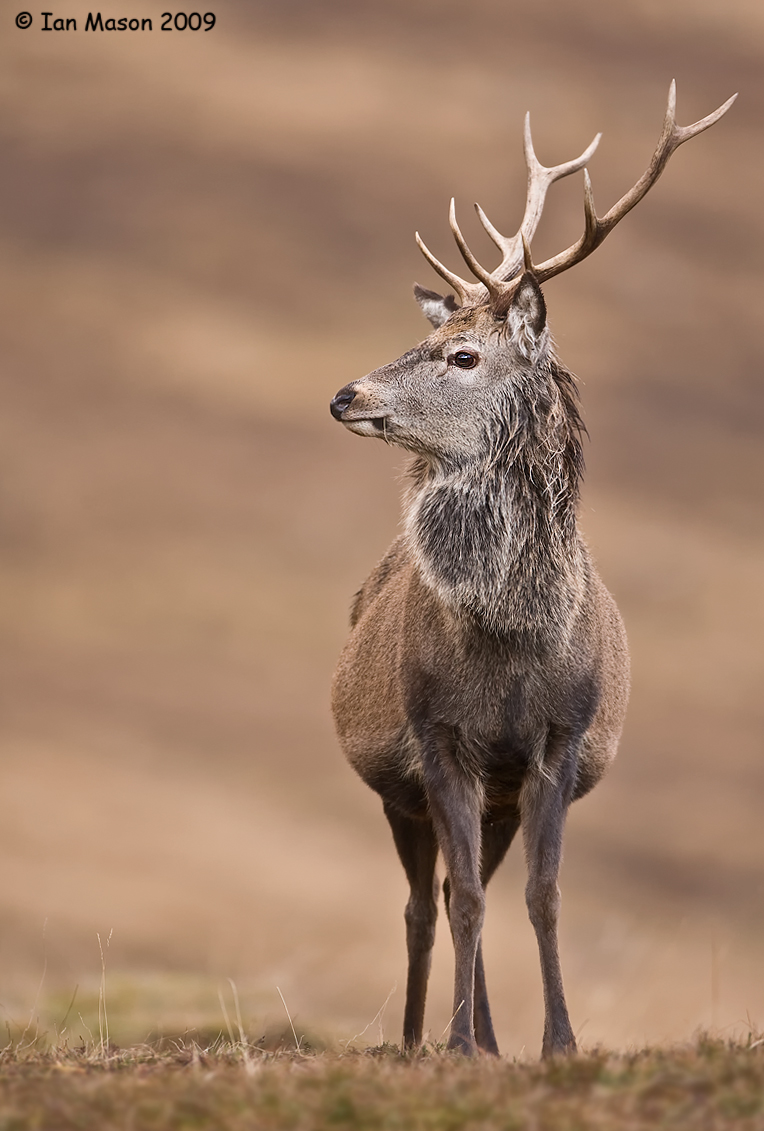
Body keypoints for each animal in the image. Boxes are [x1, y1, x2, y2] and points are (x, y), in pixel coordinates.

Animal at [329, 83, 735, 1059]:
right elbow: (470, 900)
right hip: (399, 784)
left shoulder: (558, 740)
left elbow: (542, 897)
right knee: (424, 903)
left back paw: (484, 1036)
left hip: (502, 794)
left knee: (453, 888)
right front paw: (456, 1042)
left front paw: (556, 1041)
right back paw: (421, 1037)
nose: (344, 394)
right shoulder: (437, 736)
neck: (514, 638)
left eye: (463, 355)